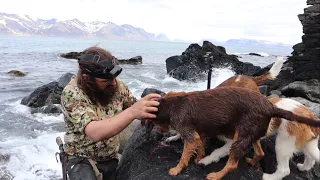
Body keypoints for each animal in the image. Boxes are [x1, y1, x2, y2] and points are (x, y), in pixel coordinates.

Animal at [149, 86, 320, 179]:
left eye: (153, 123)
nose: (157, 134)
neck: (173, 104)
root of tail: (272, 107)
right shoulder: (200, 133)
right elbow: (201, 147)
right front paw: (199, 158)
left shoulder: (193, 135)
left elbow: (186, 155)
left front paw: (178, 169)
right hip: (252, 133)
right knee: (261, 153)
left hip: (266, 140)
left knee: (233, 165)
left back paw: (217, 175)